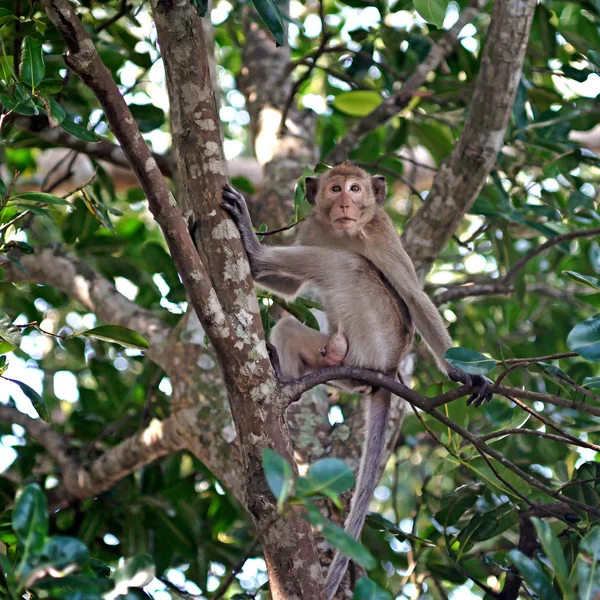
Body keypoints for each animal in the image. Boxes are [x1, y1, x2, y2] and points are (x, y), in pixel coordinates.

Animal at [221, 166, 492, 596]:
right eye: (335, 189)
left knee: (346, 266)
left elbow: (414, 296)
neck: (344, 231)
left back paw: (257, 253)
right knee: (293, 324)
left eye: (355, 188)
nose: (346, 202)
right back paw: (284, 375)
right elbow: (291, 289)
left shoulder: (381, 233)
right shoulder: (312, 228)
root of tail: (388, 371)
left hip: (375, 338)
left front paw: (463, 372)